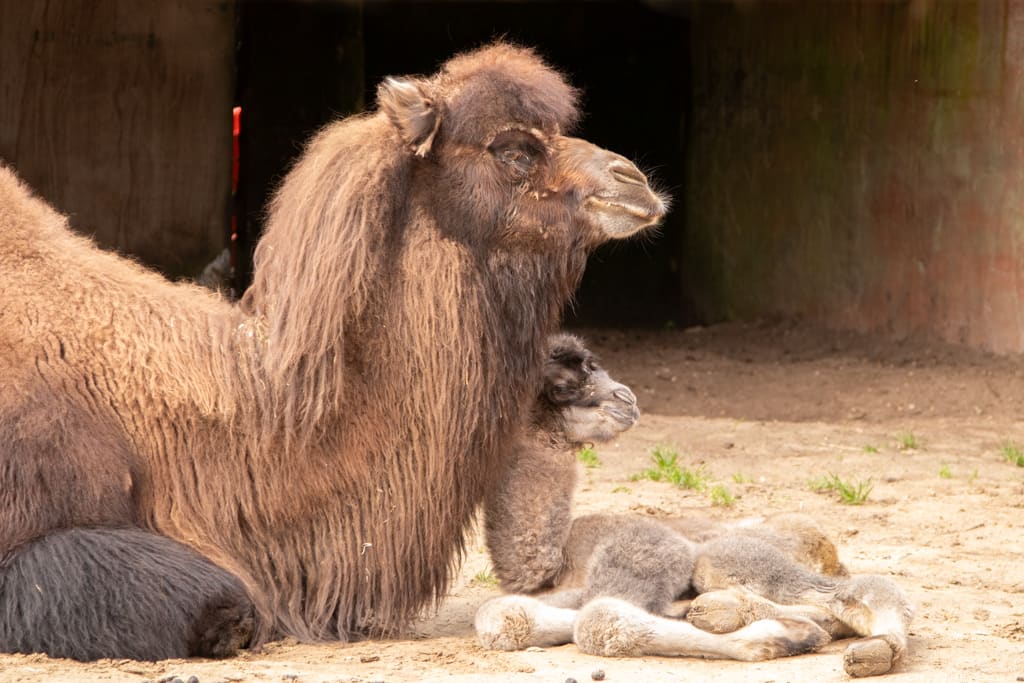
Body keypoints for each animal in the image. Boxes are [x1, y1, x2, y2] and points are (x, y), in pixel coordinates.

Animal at [477, 333, 913, 675]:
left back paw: (875, 652)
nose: (626, 397)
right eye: (564, 384)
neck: (560, 556)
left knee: (861, 589)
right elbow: (503, 616)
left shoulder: (646, 548)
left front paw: (785, 635)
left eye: (590, 365)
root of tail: (823, 543)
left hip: (727, 555)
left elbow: (599, 616)